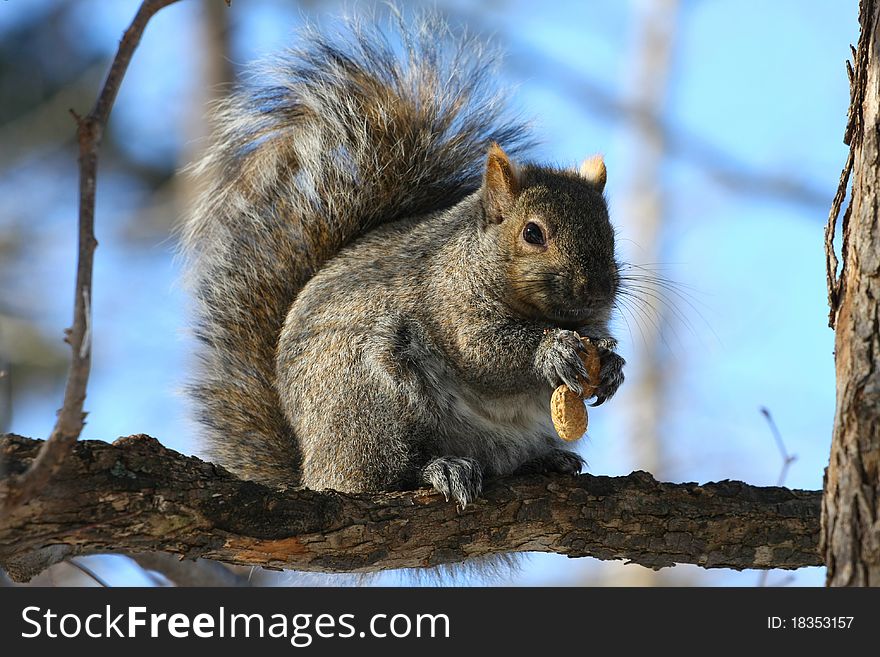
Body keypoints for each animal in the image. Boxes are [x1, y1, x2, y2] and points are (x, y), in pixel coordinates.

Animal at [184, 10, 624, 504]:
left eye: (610, 231)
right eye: (532, 233)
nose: (596, 291)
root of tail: (313, 467)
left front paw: (610, 366)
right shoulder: (449, 306)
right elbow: (485, 355)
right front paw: (553, 350)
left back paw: (543, 461)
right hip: (366, 401)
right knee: (386, 474)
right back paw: (440, 468)